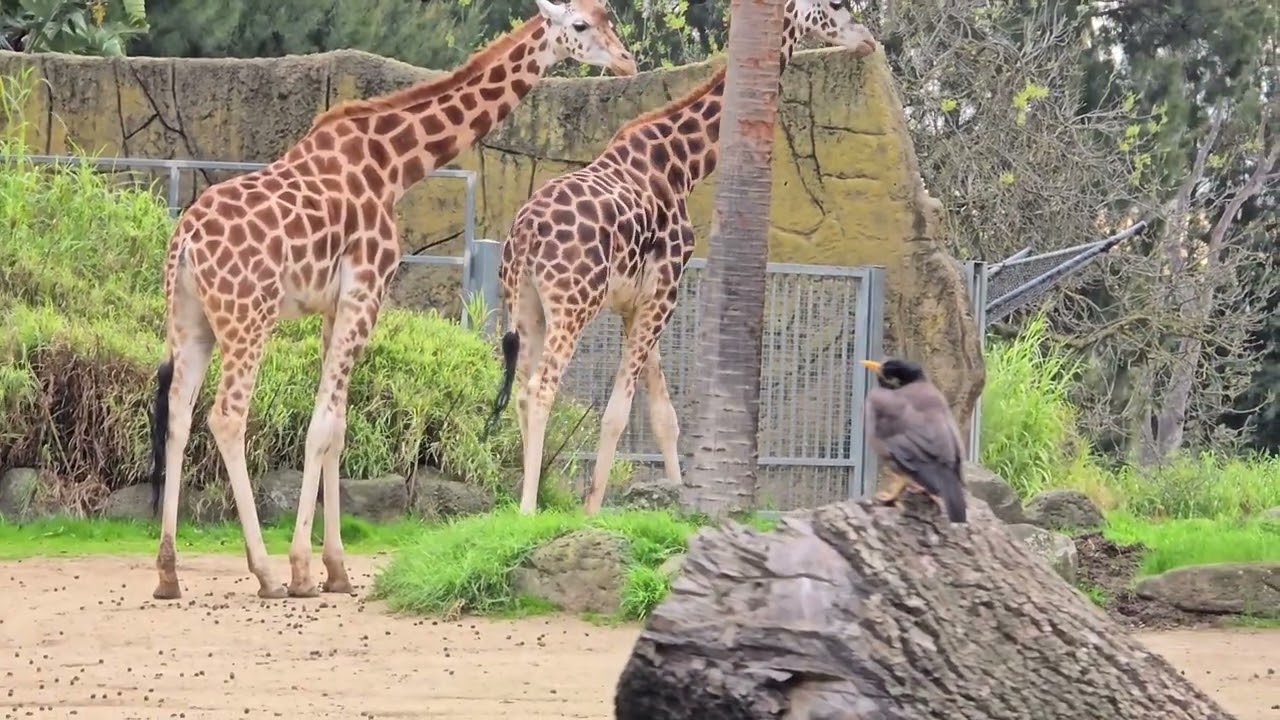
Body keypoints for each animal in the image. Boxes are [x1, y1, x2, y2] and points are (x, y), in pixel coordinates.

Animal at [145, 0, 637, 602]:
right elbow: (324, 427)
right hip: (248, 317)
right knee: (227, 416)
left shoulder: (335, 307)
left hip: (191, 321)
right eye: (583, 25)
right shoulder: (367, 290)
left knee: (177, 413)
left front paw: (334, 568)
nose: (627, 61)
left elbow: (336, 427)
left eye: (608, 17)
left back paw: (168, 572)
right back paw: (264, 573)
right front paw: (304, 570)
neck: (395, 164)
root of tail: (185, 242)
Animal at [487, 0, 878, 515]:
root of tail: (526, 232)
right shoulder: (667, 288)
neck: (681, 165)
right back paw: (528, 510)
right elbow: (618, 413)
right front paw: (595, 510)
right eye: (835, 5)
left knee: (520, 389)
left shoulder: (636, 301)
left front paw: (669, 500)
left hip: (526, 303)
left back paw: (520, 502)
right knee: (541, 388)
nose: (867, 39)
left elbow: (662, 414)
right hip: (573, 304)